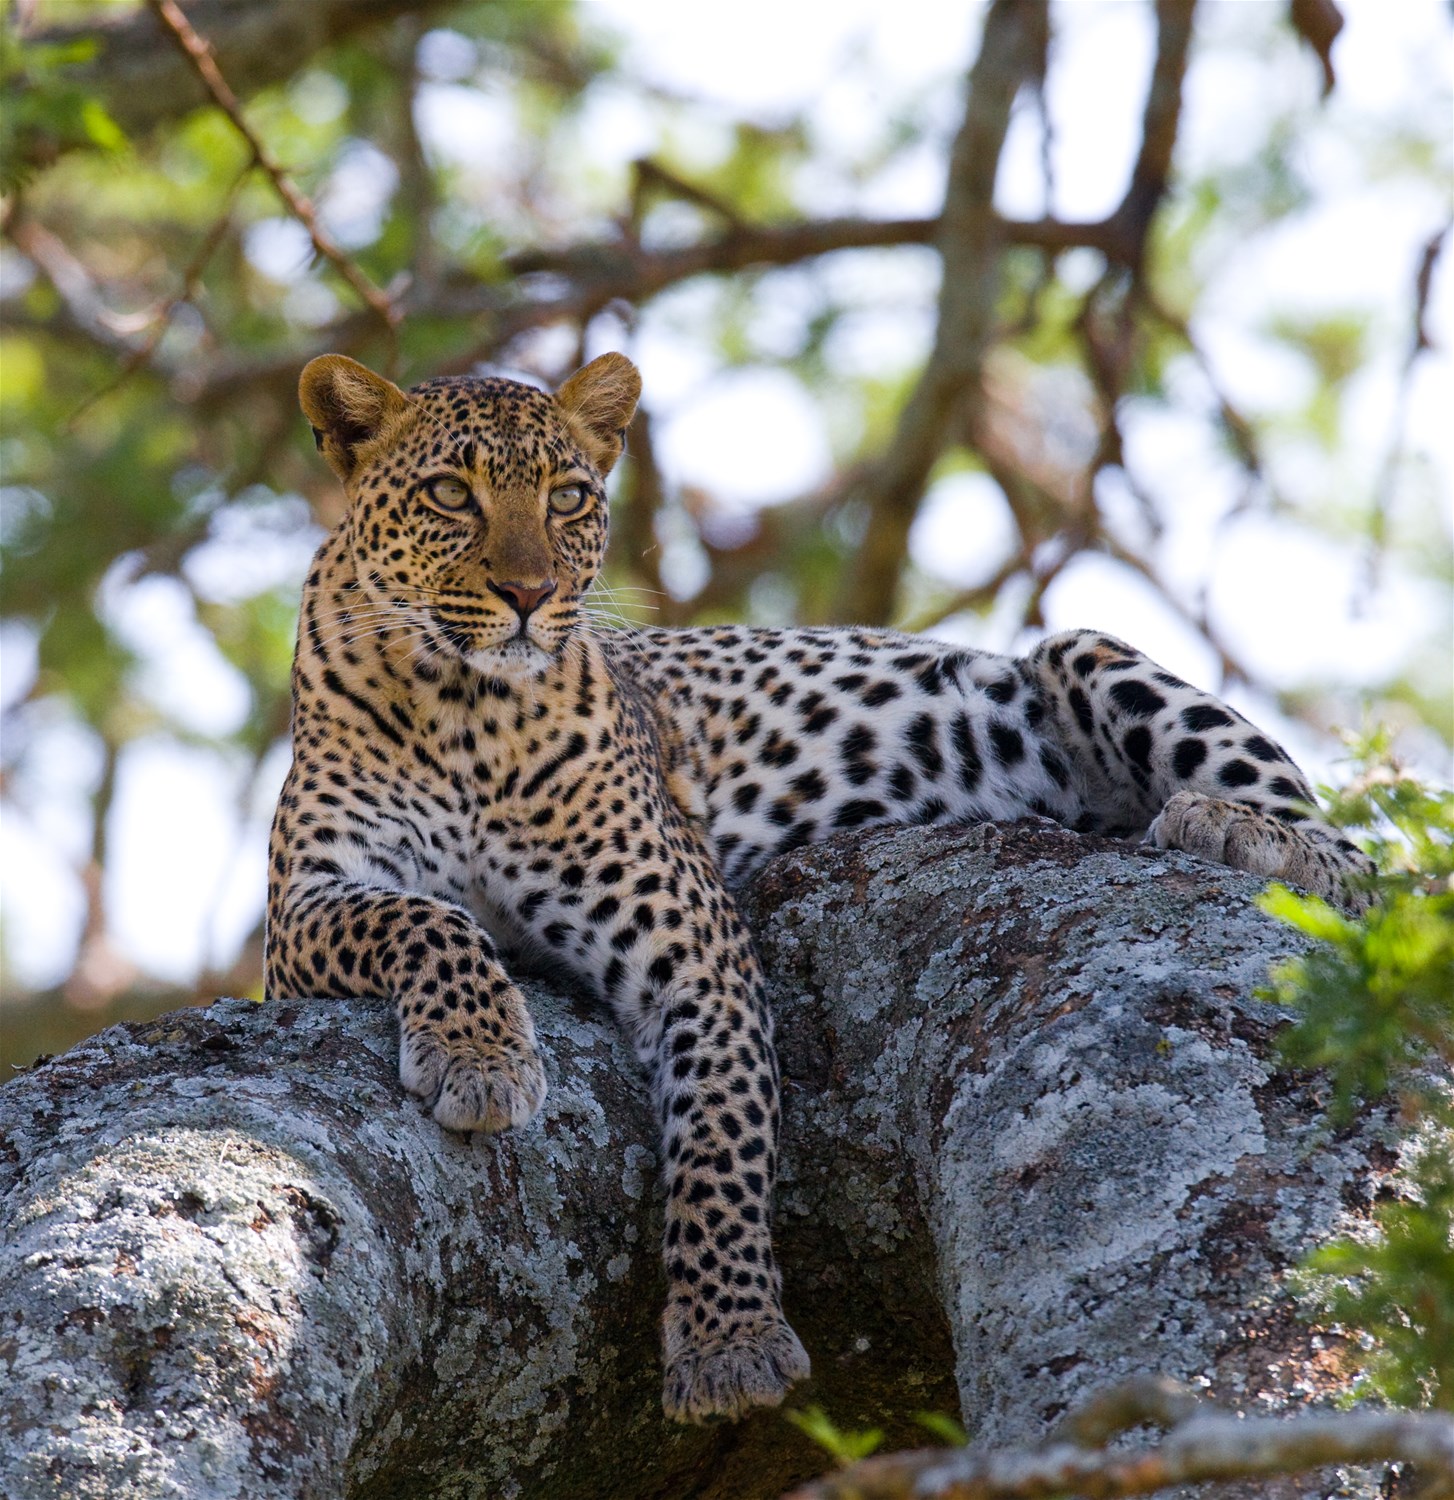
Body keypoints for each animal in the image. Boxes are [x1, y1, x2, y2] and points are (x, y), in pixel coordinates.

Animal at [270, 351, 1374, 1428]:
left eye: (569, 497)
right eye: (450, 494)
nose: (527, 594)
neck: (465, 708)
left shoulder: (694, 950)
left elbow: (722, 1140)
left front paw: (729, 1341)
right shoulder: (302, 913)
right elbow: (426, 915)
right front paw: (483, 1056)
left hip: (1085, 654)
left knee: (1363, 864)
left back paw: (1232, 827)